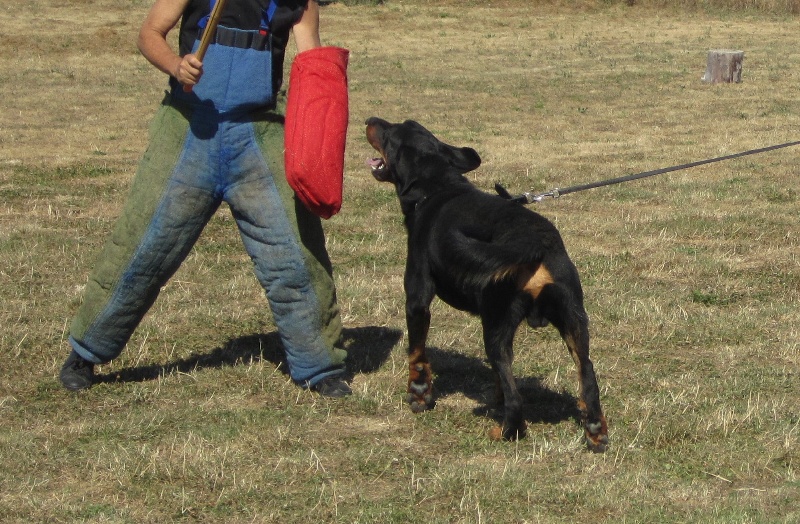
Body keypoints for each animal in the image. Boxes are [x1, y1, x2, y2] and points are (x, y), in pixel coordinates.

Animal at [366, 116, 608, 452]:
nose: (370, 120)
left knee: (517, 401)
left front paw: (420, 395)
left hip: (496, 324)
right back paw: (595, 432)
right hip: (573, 318)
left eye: (390, 133)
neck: (438, 187)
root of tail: (535, 241)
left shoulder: (417, 297)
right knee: (588, 378)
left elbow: (417, 353)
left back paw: (503, 432)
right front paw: (495, 400)